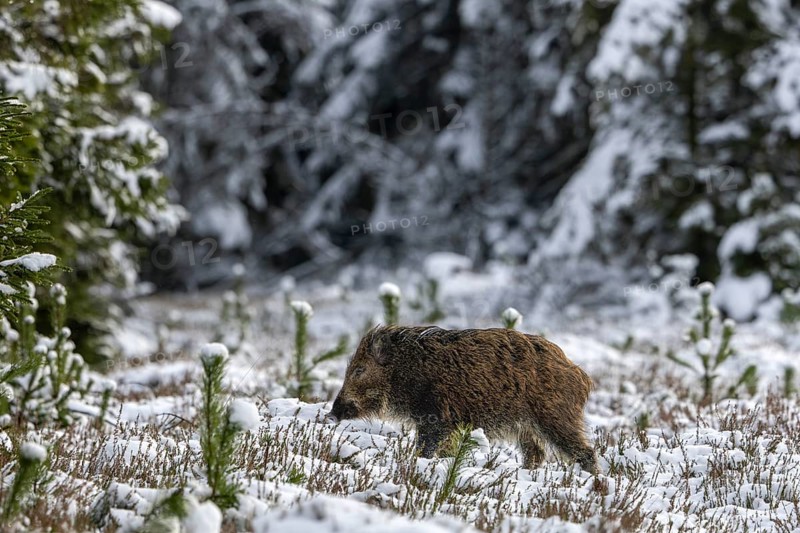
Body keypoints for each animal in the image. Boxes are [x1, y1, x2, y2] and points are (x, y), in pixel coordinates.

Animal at [329, 325, 598, 473]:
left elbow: (426, 448)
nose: (332, 414)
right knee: (536, 454)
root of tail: (581, 376)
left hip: (555, 417)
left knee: (585, 451)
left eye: (359, 370)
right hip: (528, 427)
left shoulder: (436, 418)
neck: (405, 369)